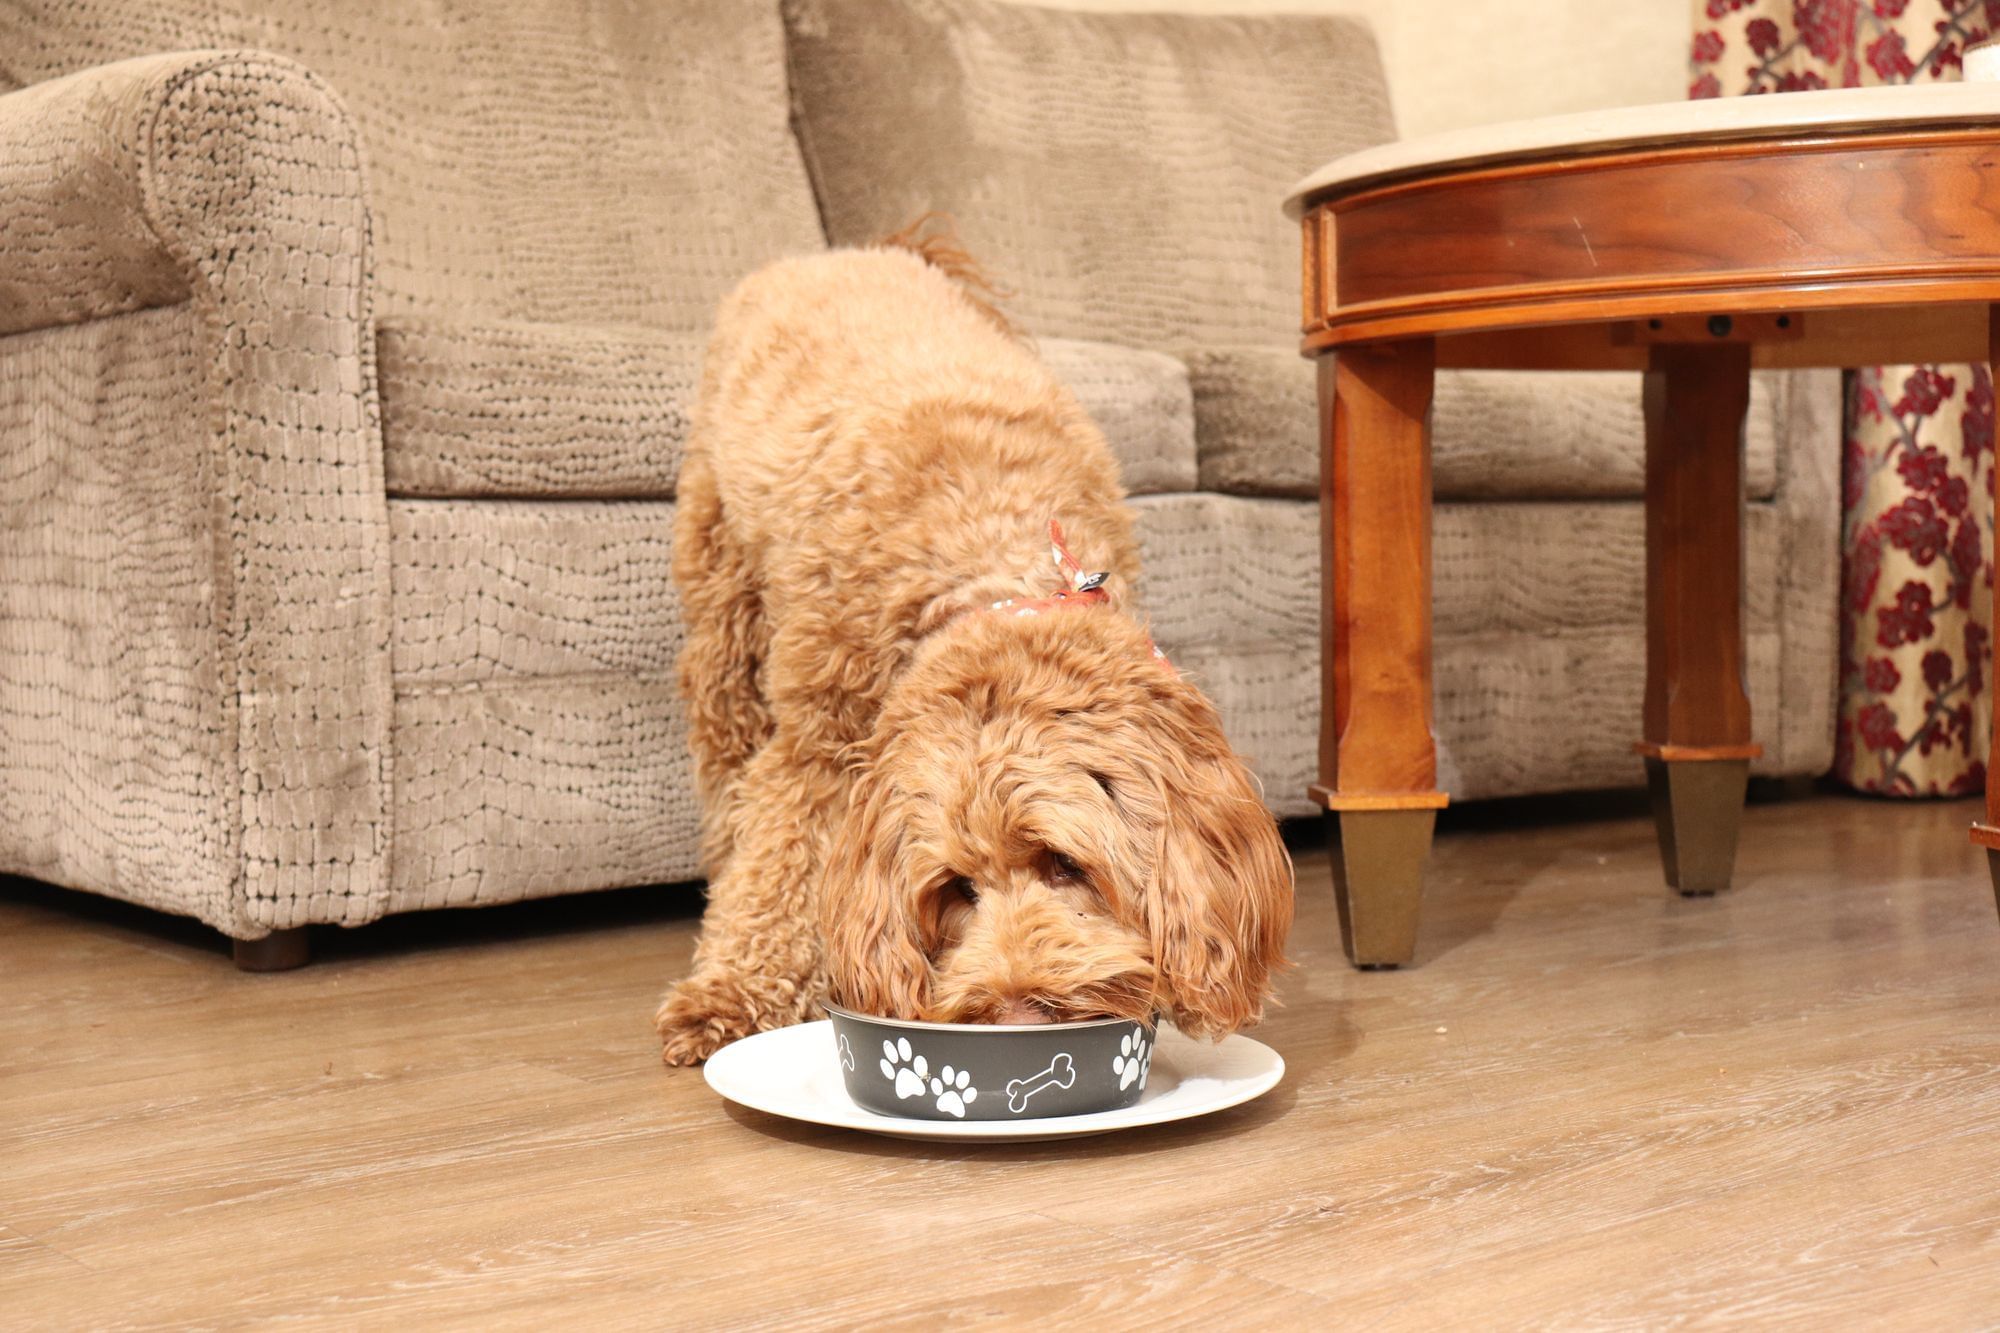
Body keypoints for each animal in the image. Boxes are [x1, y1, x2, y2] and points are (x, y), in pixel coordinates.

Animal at [656, 228, 1296, 1056]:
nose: (1017, 1014)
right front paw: (732, 991)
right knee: (730, 773)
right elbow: (781, 869)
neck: (996, 561)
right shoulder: (818, 751)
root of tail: (852, 249)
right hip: (724, 600)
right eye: (956, 888)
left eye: (1063, 863)